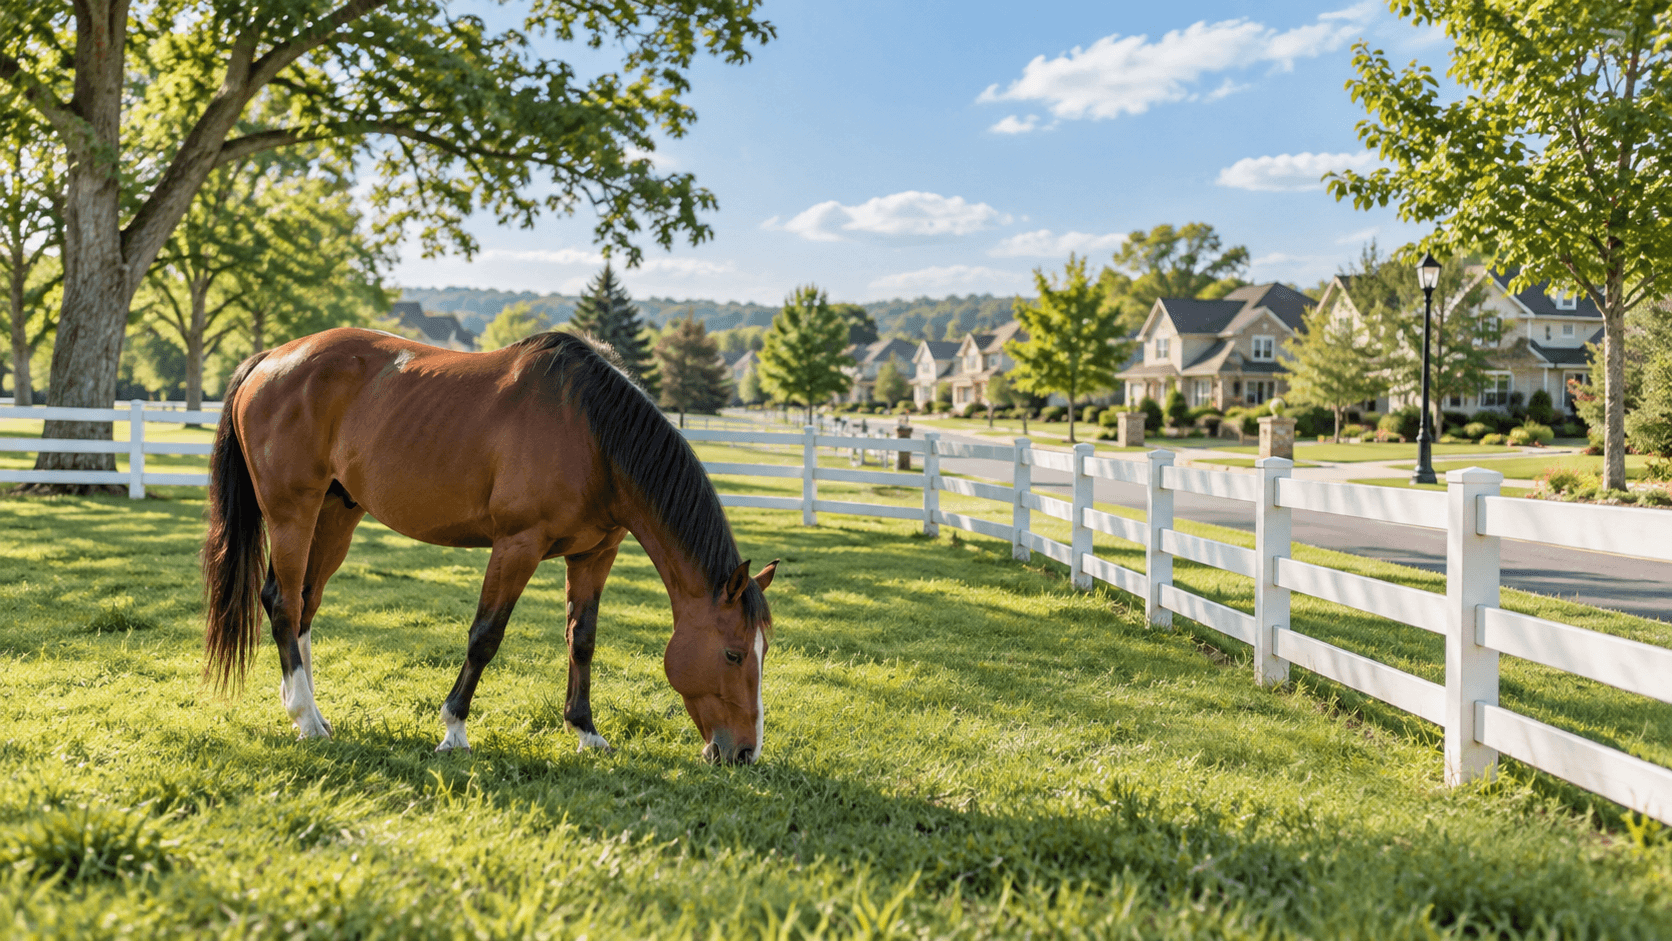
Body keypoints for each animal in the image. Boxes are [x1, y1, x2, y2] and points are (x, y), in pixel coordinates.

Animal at [200, 327, 777, 764]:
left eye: (762, 652)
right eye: (732, 653)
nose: (744, 753)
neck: (593, 433)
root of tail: (269, 360)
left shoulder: (594, 555)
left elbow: (583, 639)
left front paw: (586, 731)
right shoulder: (517, 546)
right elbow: (486, 636)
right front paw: (453, 730)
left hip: (335, 515)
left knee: (304, 607)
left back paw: (312, 712)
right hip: (291, 514)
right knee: (283, 602)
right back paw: (304, 718)